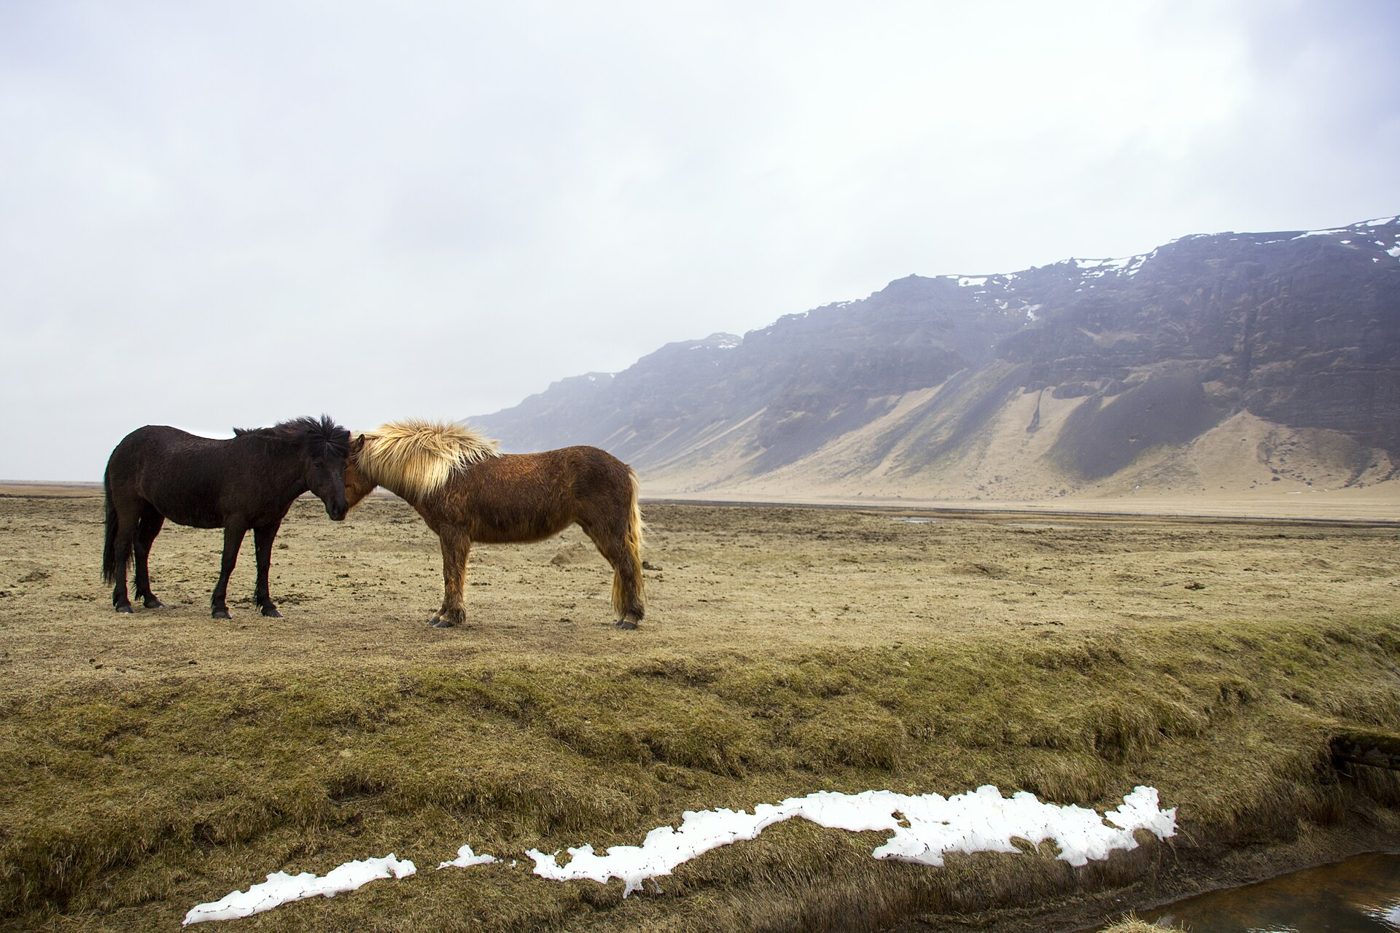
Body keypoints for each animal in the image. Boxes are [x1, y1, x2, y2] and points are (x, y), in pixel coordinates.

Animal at [102, 415, 352, 619]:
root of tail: (121, 446)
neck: (265, 468)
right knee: (122, 547)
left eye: (343, 464)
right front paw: (220, 607)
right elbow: (228, 561)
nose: (339, 508)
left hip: (153, 512)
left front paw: (268, 606)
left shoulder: (269, 525)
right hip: (129, 508)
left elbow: (264, 563)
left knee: (141, 546)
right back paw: (123, 602)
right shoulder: (236, 522)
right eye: (318, 464)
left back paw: (150, 598)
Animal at [343, 420, 646, 629]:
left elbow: (452, 573)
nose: (337, 509)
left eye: (345, 465)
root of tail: (624, 468)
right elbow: (449, 573)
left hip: (607, 531)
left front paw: (450, 617)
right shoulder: (449, 535)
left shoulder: (454, 533)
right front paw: (442, 614)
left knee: (627, 565)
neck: (442, 474)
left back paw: (630, 618)